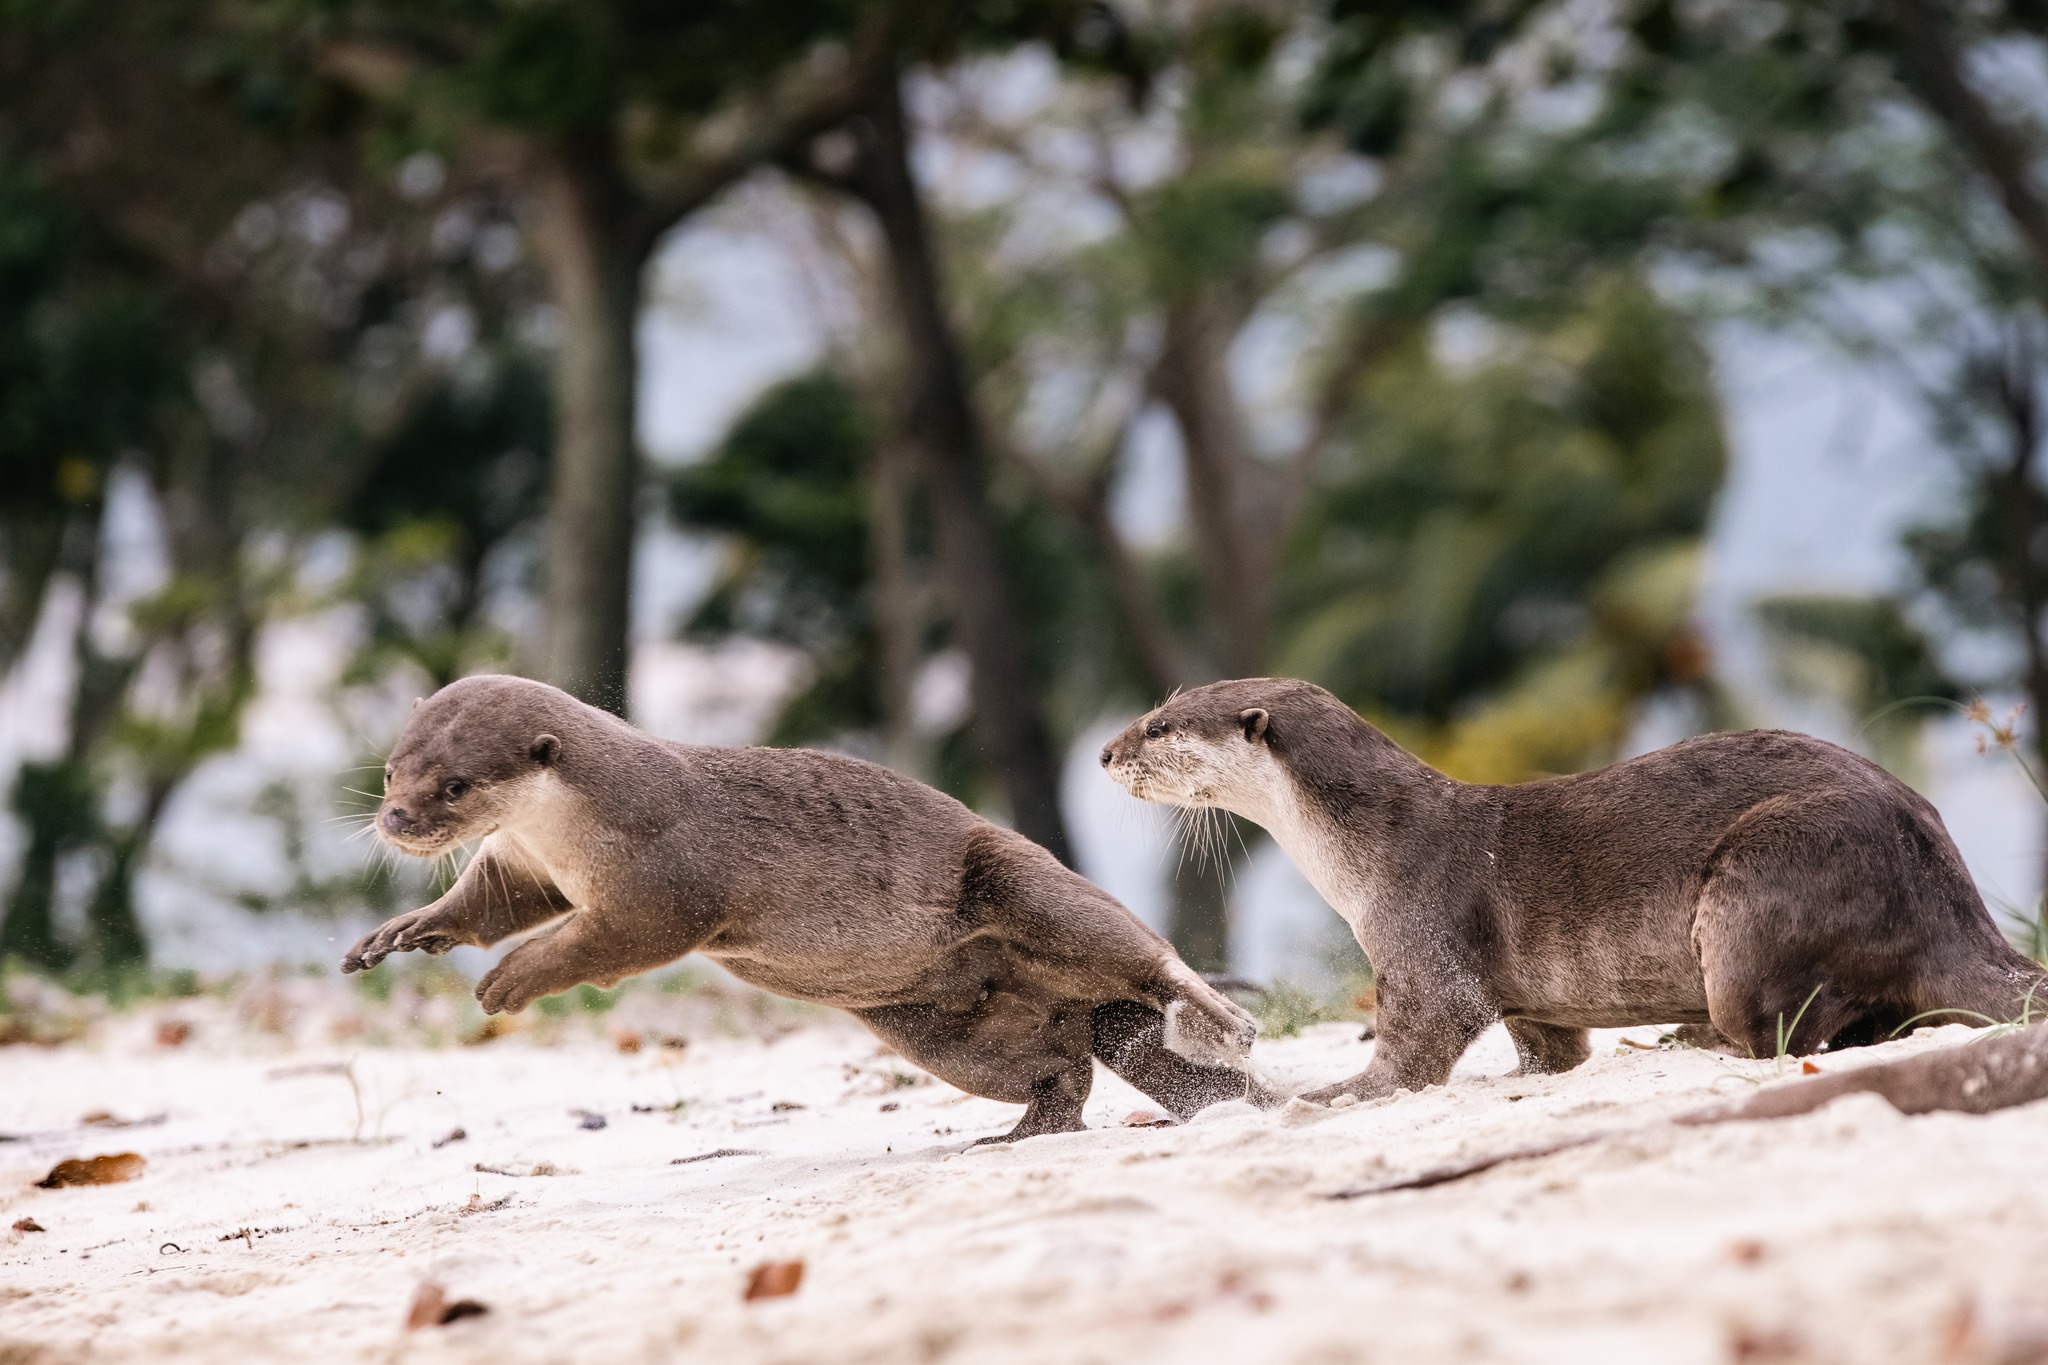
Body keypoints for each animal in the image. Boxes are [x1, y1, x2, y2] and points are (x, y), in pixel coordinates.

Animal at [340, 675, 1263, 1141]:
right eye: (392, 770)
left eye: (456, 785)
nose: (397, 819)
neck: (592, 820)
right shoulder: (528, 863)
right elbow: (492, 900)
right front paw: (406, 931)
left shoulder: (665, 883)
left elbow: (605, 945)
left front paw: (511, 978)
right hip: (937, 1029)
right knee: (1063, 1069)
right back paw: (1028, 1130)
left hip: (1016, 880)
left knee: (1138, 951)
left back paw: (1218, 1015)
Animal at [1100, 677, 2046, 1104]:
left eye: (1160, 726)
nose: (1105, 752)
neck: (1376, 853)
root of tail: (1942, 882)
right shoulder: (1532, 1004)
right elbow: (1552, 1050)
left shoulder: (1424, 938)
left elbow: (1419, 1042)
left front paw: (1333, 1093)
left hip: (1769, 875)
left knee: (1797, 1029)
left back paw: (1696, 1041)